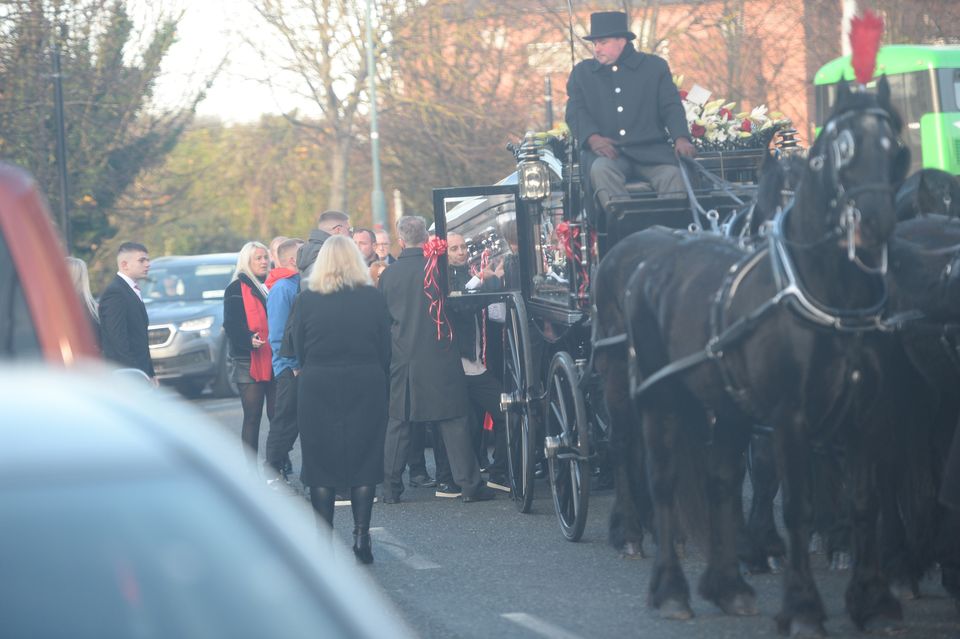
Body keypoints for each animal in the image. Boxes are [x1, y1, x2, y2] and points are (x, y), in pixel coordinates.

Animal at [596, 80, 912, 636]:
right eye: (841, 152)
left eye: (896, 149)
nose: (872, 223)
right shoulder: (784, 409)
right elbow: (776, 481)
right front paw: (781, 567)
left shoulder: (853, 410)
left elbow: (854, 489)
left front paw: (854, 572)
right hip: (627, 380)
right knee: (630, 448)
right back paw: (637, 536)